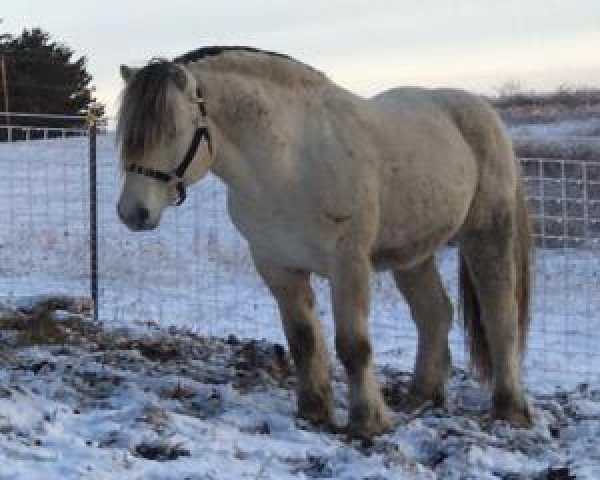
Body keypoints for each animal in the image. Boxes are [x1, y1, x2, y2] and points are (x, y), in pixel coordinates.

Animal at [115, 46, 532, 438]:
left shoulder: (348, 262)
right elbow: (303, 340)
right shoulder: (276, 266)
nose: (132, 212)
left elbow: (354, 346)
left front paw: (368, 421)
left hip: (487, 236)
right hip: (414, 254)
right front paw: (314, 412)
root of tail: (483, 112)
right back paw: (422, 397)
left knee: (500, 318)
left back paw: (510, 410)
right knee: (435, 315)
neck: (288, 163)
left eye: (172, 131)